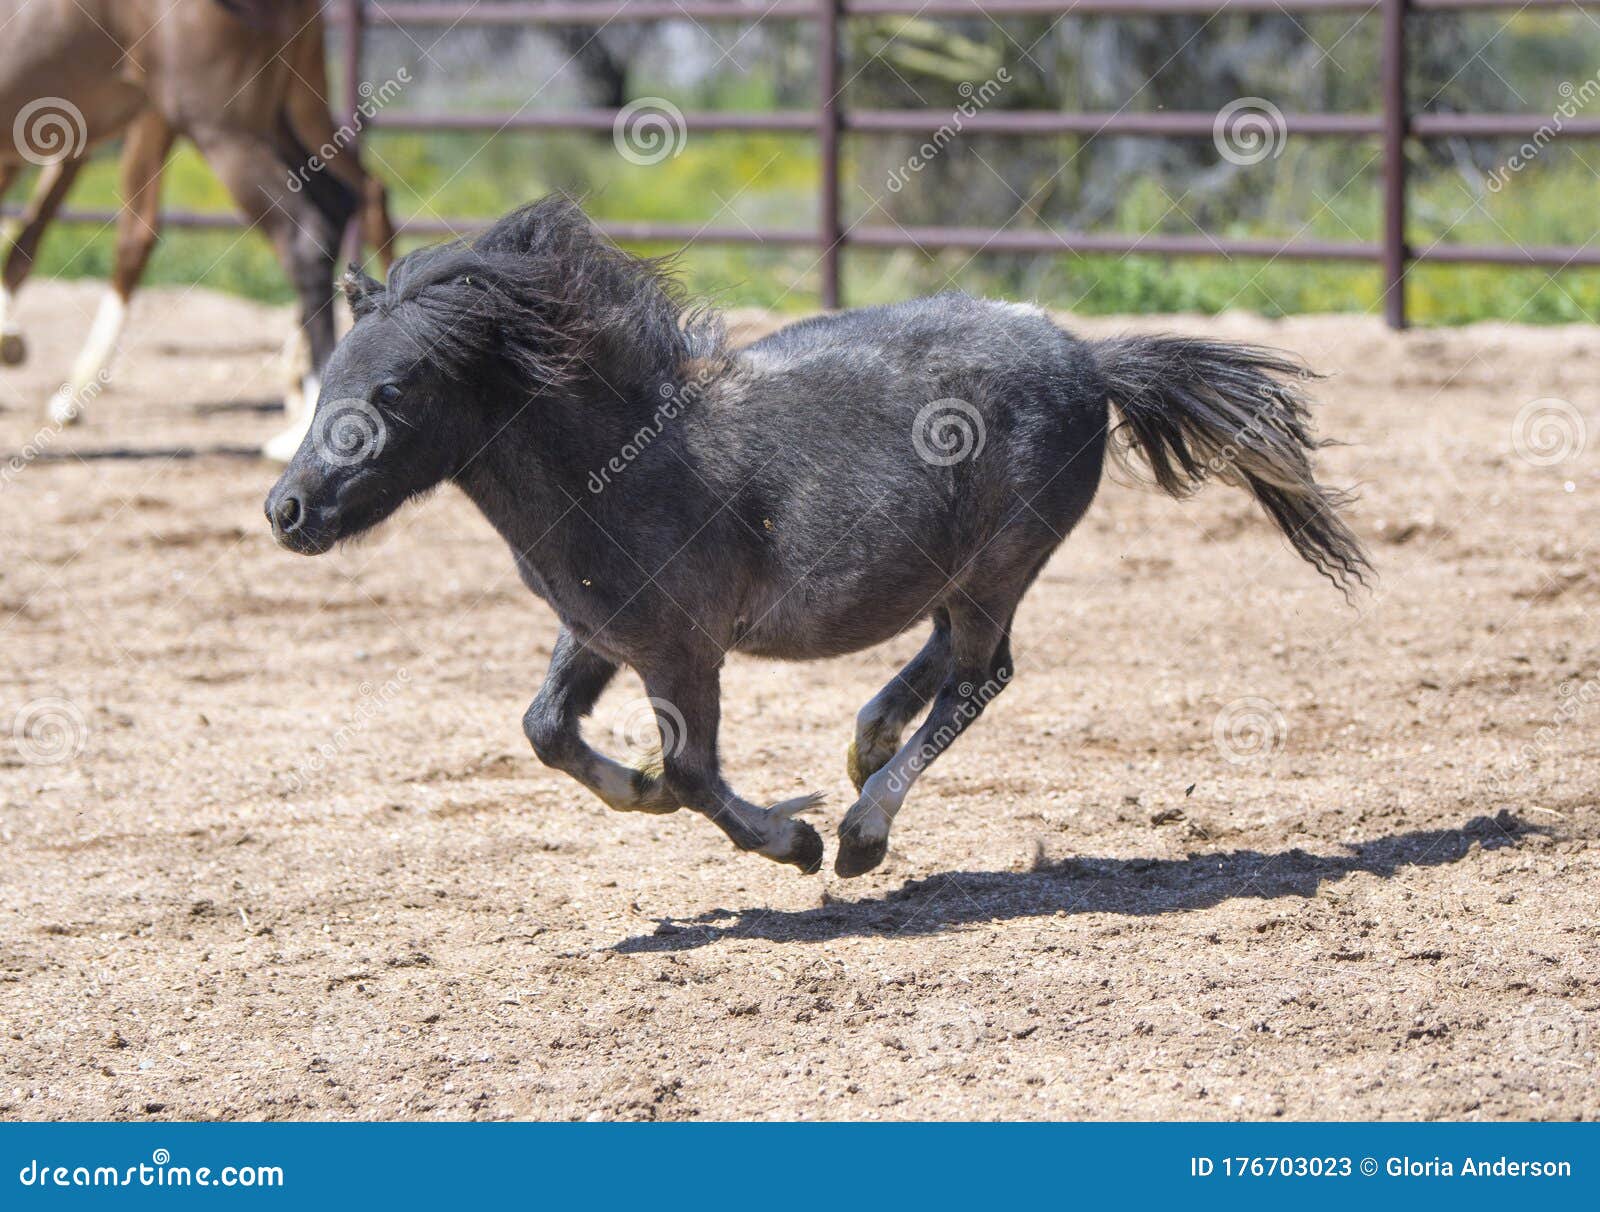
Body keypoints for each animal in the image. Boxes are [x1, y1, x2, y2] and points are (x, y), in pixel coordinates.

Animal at [264, 196, 1372, 878]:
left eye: (392, 393)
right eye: (327, 383)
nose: (287, 510)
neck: (621, 462)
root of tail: (1093, 362)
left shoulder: (683, 650)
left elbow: (694, 772)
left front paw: (789, 843)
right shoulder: (601, 632)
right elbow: (548, 731)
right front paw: (642, 792)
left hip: (1001, 564)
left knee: (982, 675)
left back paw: (863, 829)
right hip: (958, 568)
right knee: (945, 657)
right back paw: (865, 742)